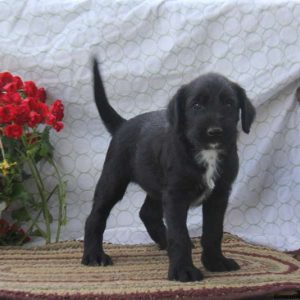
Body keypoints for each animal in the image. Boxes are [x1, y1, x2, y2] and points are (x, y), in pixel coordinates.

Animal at [82, 58, 255, 282]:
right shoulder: (175, 195)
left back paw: (163, 242)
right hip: (113, 180)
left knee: (147, 213)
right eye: (196, 105)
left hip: (156, 187)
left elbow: (213, 231)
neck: (206, 153)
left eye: (229, 104)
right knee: (95, 216)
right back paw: (94, 255)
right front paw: (183, 270)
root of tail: (123, 124)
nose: (215, 132)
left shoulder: (219, 194)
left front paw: (216, 262)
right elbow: (179, 234)